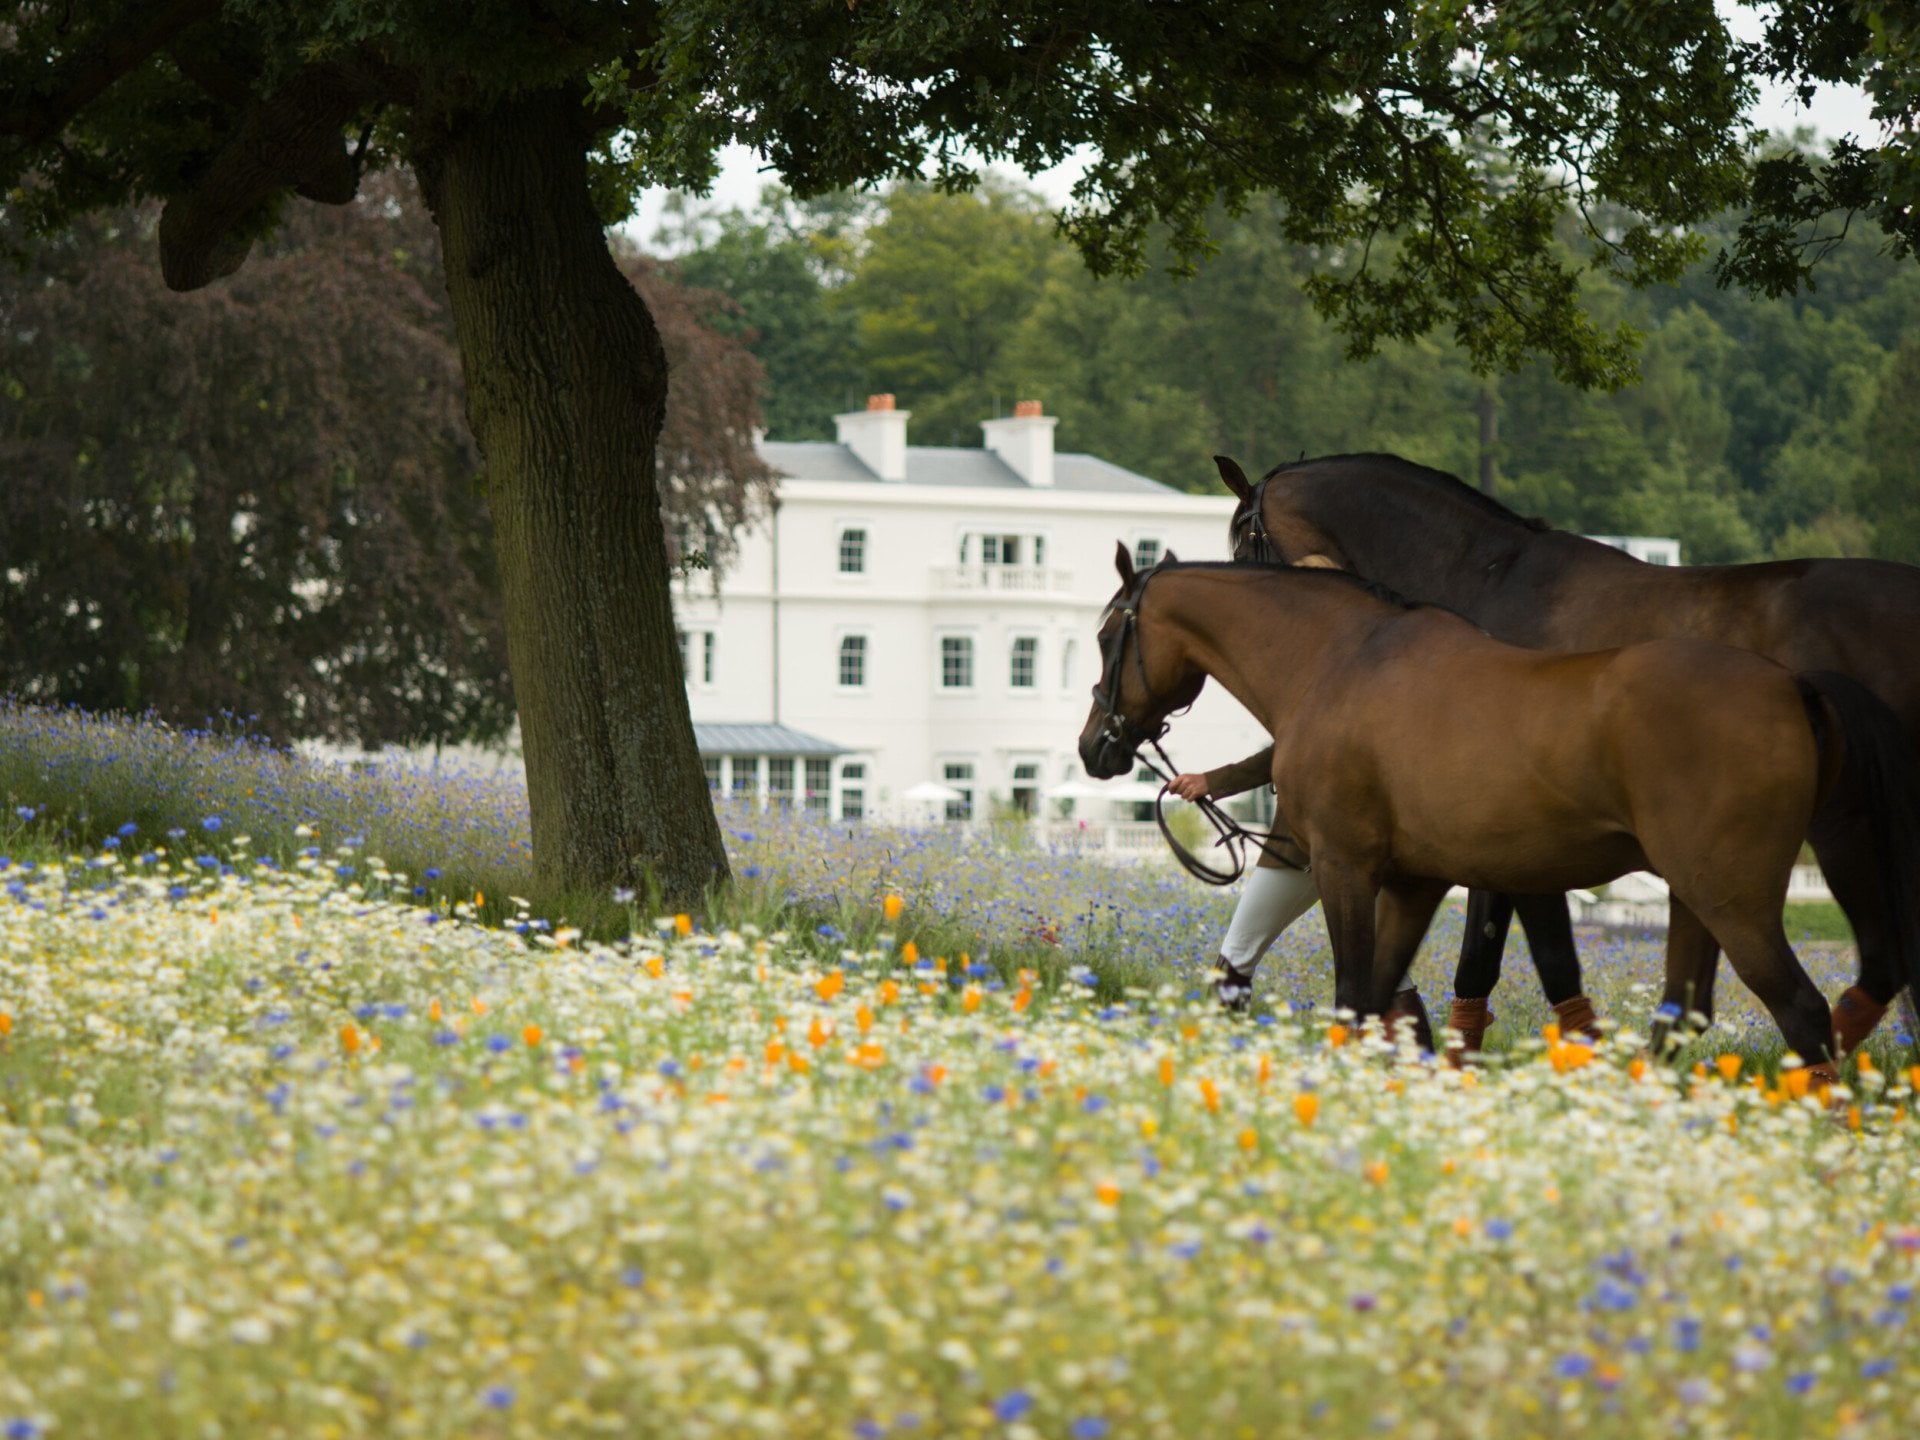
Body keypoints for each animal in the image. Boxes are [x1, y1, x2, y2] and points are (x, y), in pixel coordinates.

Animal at [1078, 547, 1920, 1082]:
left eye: (1106, 634)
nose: (1095, 747)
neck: (1343, 660)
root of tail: (1793, 685)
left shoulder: (1346, 866)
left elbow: (1354, 999)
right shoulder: (1412, 882)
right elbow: (1383, 999)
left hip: (1734, 900)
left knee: (1803, 1014)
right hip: (1694, 901)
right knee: (1683, 1015)